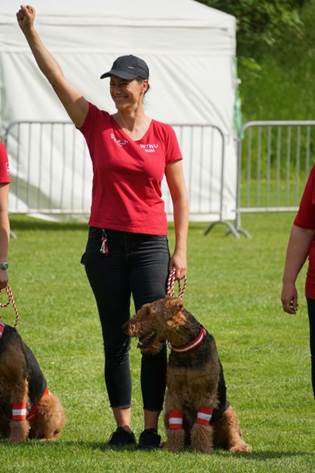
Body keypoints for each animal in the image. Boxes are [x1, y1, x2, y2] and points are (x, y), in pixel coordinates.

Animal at [127, 296, 253, 454]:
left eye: (149, 311)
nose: (125, 327)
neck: (185, 347)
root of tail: (217, 441)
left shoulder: (205, 393)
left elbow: (201, 426)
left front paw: (201, 448)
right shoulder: (174, 393)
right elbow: (175, 427)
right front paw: (173, 448)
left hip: (228, 412)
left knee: (233, 435)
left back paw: (239, 447)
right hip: (167, 413)